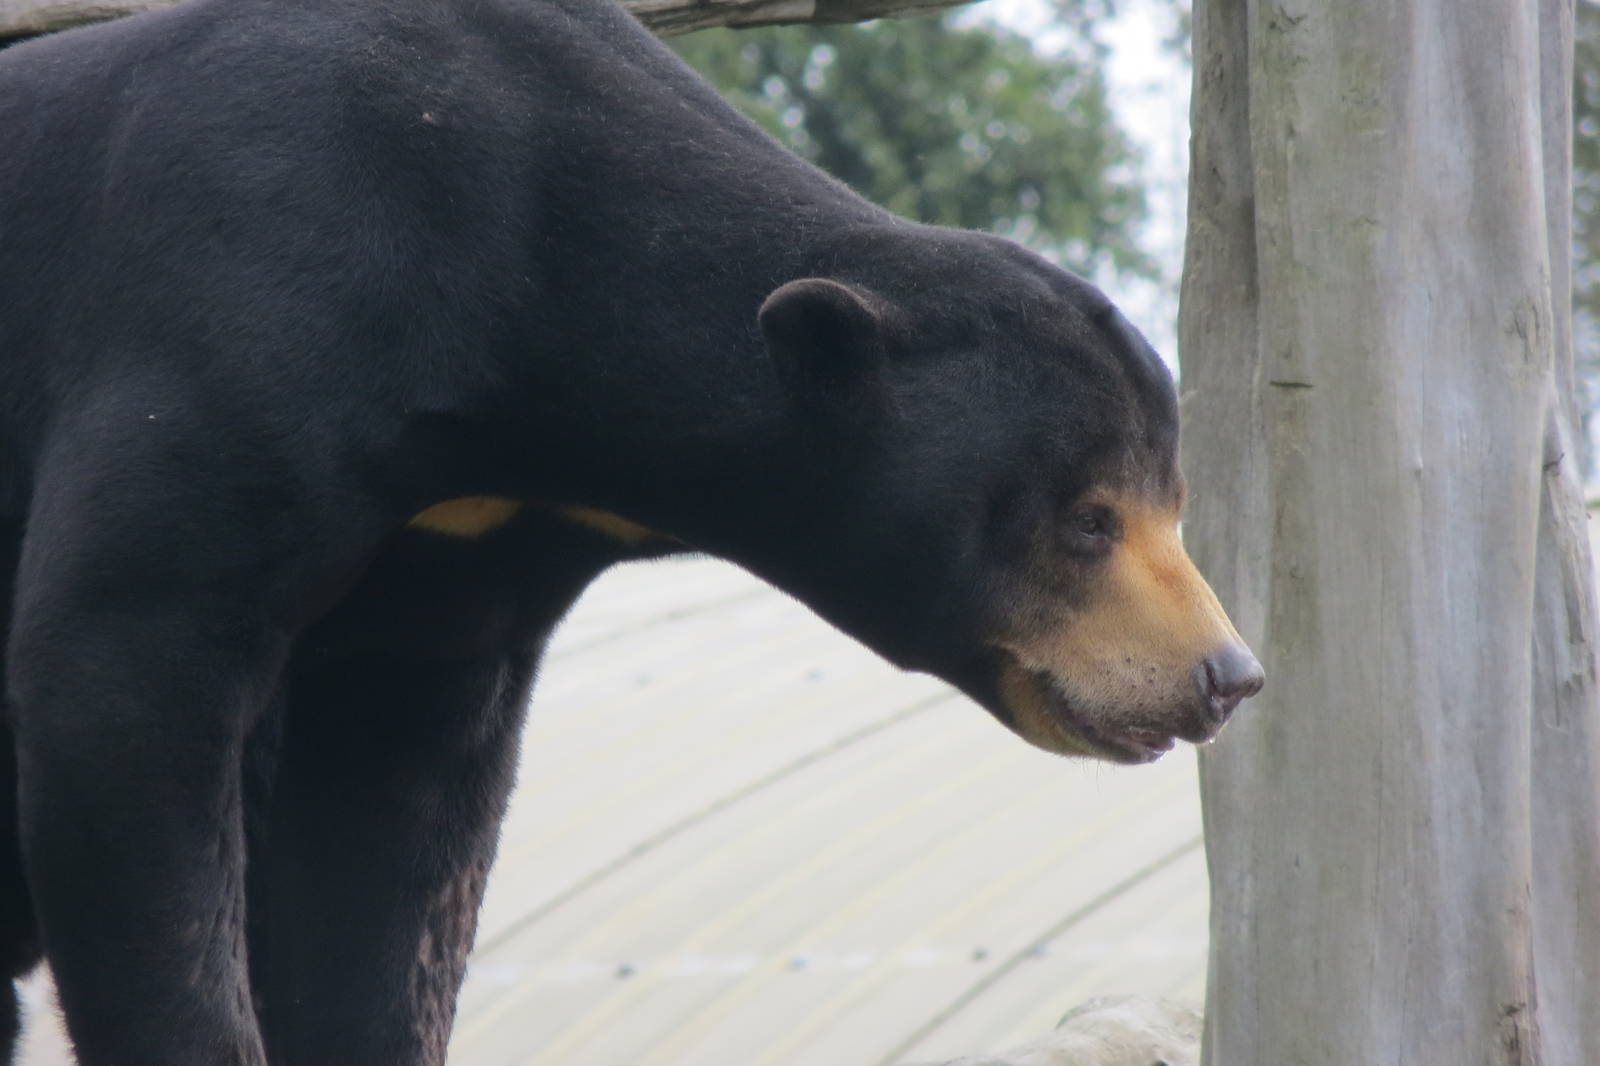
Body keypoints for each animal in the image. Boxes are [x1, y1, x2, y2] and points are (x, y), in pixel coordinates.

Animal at [0, 0, 1263, 1062]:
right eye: (1088, 519)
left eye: (1171, 505)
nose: (1224, 674)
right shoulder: (237, 312)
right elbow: (125, 669)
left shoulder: (453, 560)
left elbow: (386, 826)